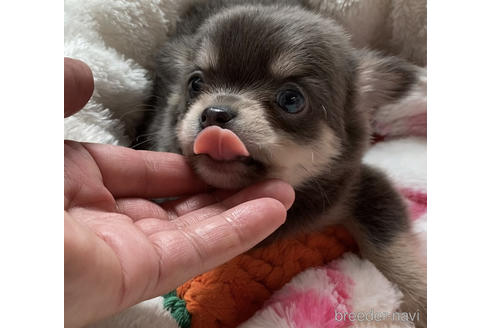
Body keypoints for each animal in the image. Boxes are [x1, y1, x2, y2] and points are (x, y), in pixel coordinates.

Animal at [137, 1, 426, 326]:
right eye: (195, 83)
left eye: (291, 99)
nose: (215, 113)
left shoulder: (363, 186)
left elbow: (392, 244)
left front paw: (422, 302)